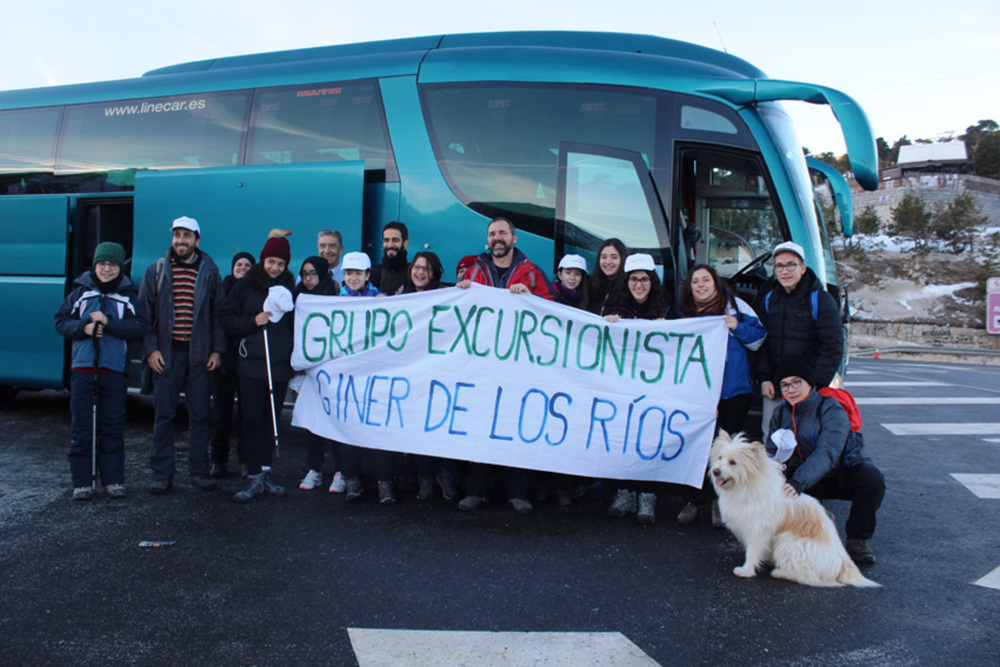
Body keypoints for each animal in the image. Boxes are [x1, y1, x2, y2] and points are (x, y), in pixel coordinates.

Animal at [712, 430, 876, 588]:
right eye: (720, 457)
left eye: (733, 462)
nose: (715, 471)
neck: (746, 485)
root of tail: (842, 562)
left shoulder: (758, 530)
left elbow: (752, 551)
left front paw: (746, 570)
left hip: (789, 544)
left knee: (807, 575)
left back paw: (780, 572)